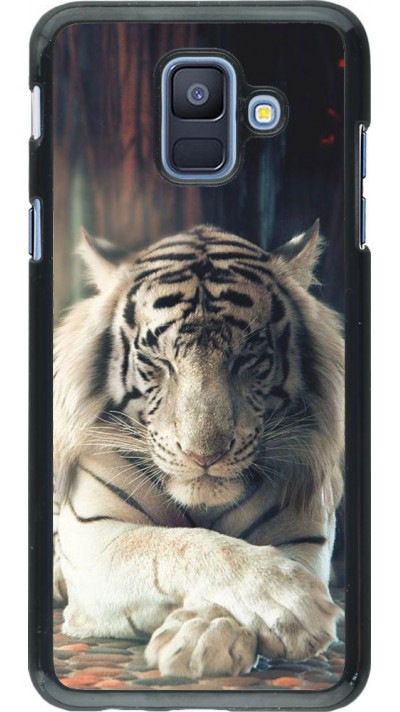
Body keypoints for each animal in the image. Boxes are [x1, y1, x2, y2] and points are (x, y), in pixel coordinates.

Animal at [53, 221, 344, 679]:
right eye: (158, 361)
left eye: (248, 357)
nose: (203, 455)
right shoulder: (94, 537)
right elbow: (180, 545)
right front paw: (289, 602)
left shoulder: (303, 535)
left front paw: (204, 635)